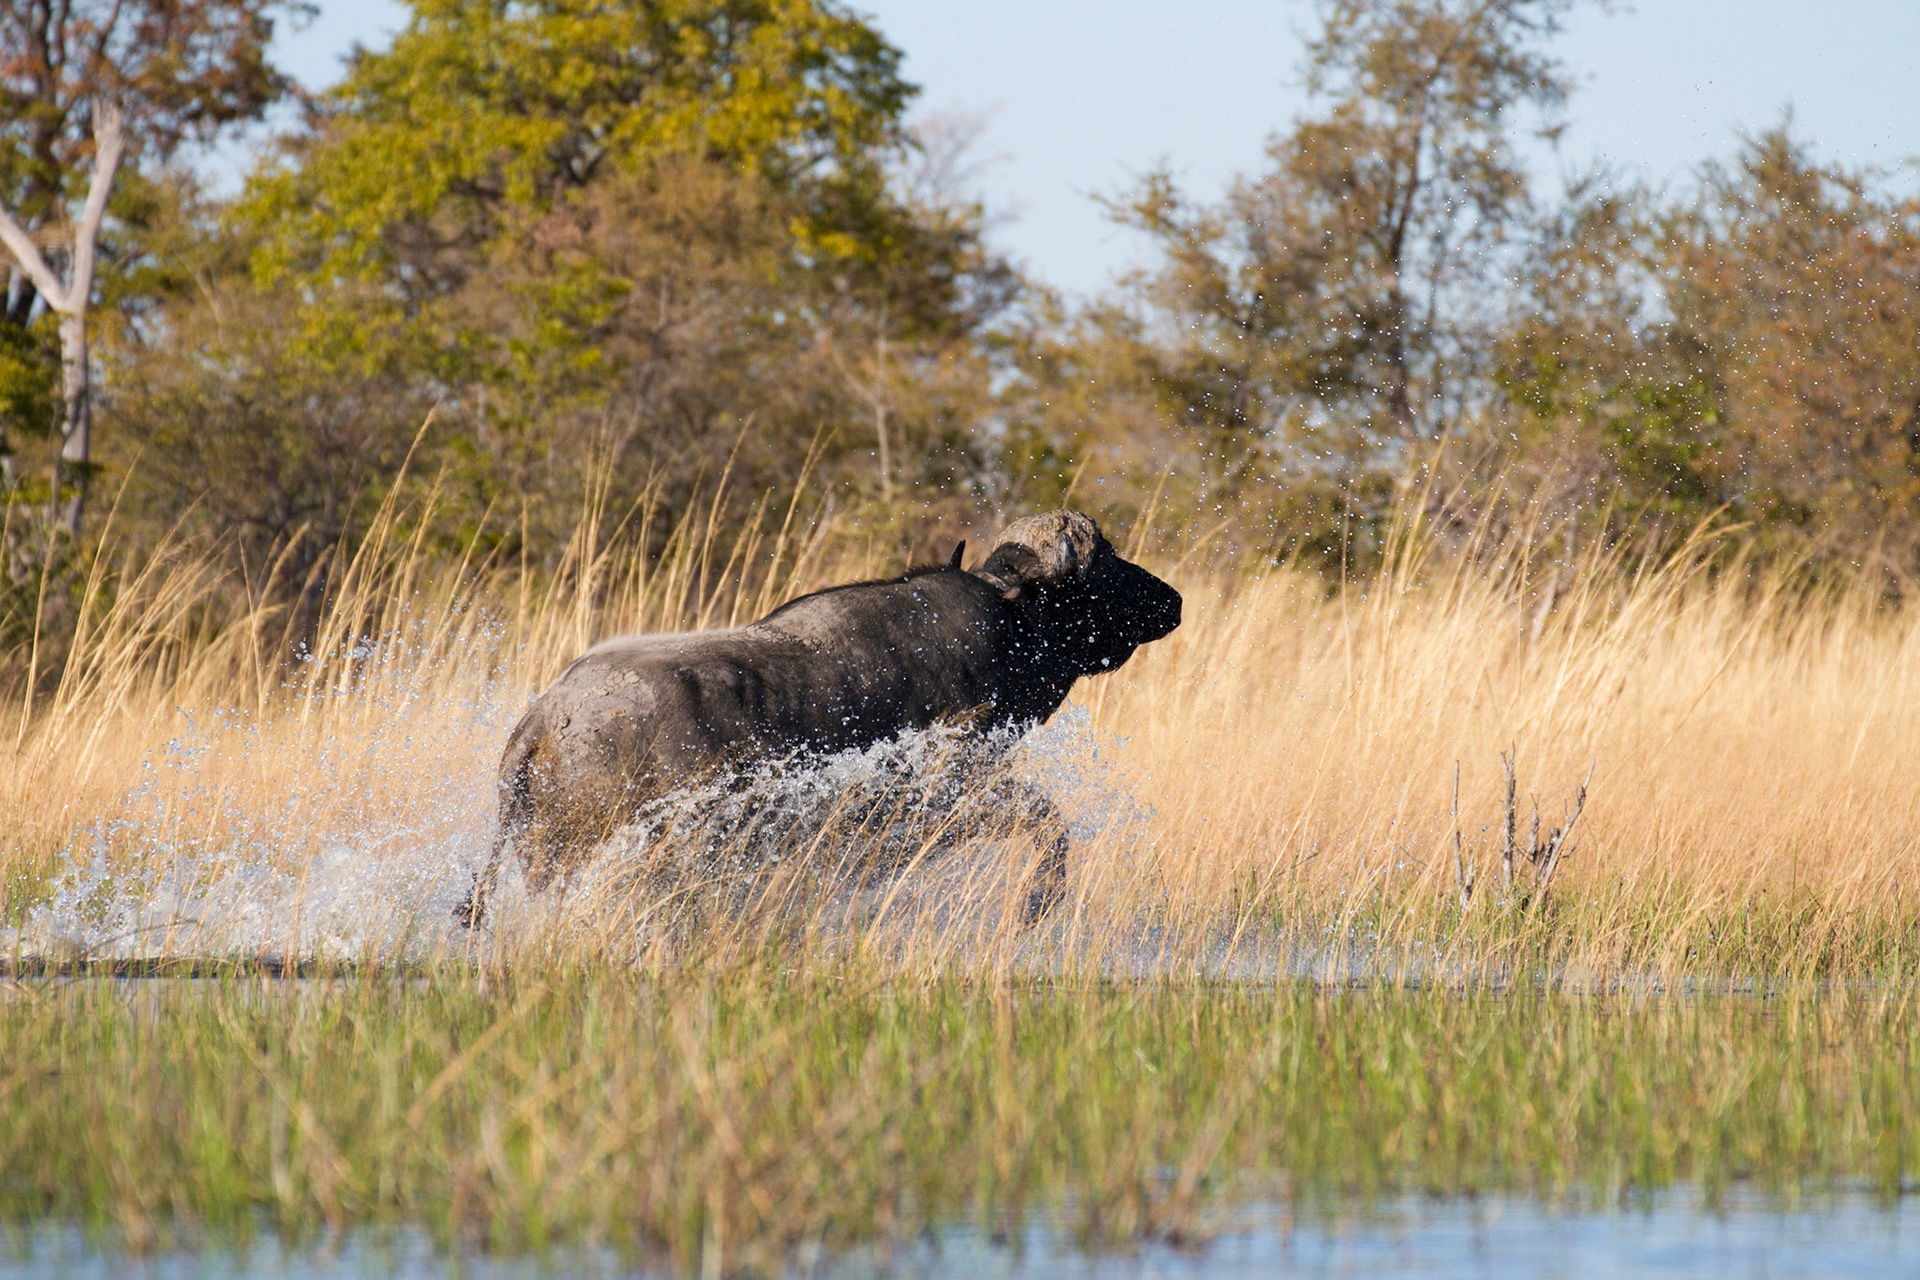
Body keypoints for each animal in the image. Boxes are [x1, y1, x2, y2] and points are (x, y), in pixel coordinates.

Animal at [456, 509, 1182, 926]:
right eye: (1099, 566)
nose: (1172, 601)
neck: (1012, 623)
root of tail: (541, 723)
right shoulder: (948, 793)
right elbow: (1048, 822)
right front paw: (1036, 906)